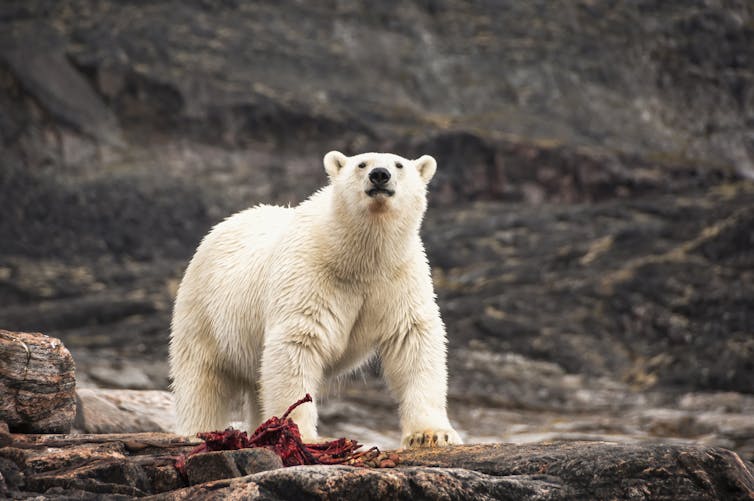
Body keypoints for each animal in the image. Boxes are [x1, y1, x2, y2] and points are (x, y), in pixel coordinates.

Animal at [169, 150, 462, 448]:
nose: (380, 175)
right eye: (362, 164)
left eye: (399, 165)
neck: (357, 257)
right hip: (203, 308)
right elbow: (298, 341)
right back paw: (199, 431)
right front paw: (301, 434)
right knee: (202, 376)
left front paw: (432, 434)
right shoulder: (310, 274)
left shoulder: (399, 278)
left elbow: (413, 341)